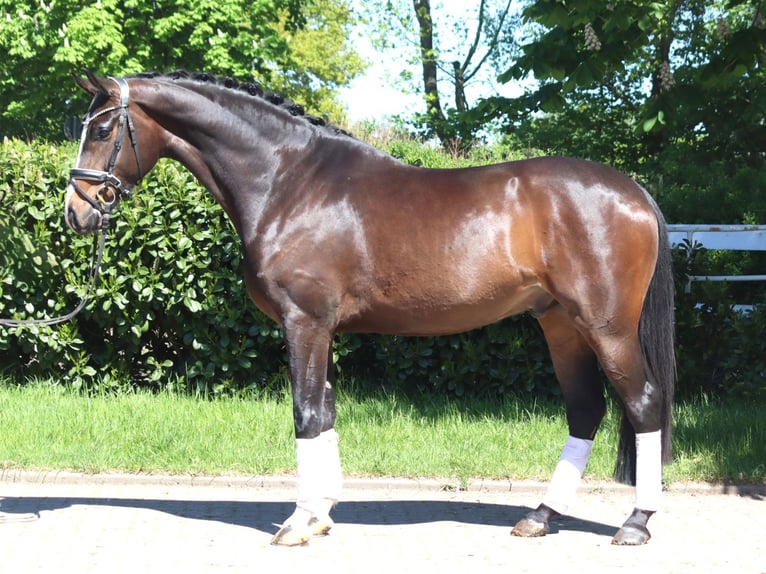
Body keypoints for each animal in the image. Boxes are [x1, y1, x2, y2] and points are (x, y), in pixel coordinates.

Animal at [64, 70, 675, 547]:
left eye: (102, 129)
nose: (77, 211)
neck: (287, 181)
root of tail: (636, 192)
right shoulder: (322, 328)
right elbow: (327, 411)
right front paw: (321, 515)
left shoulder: (304, 323)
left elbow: (306, 414)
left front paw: (297, 522)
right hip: (560, 325)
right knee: (586, 411)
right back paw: (540, 517)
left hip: (605, 326)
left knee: (643, 404)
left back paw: (636, 522)